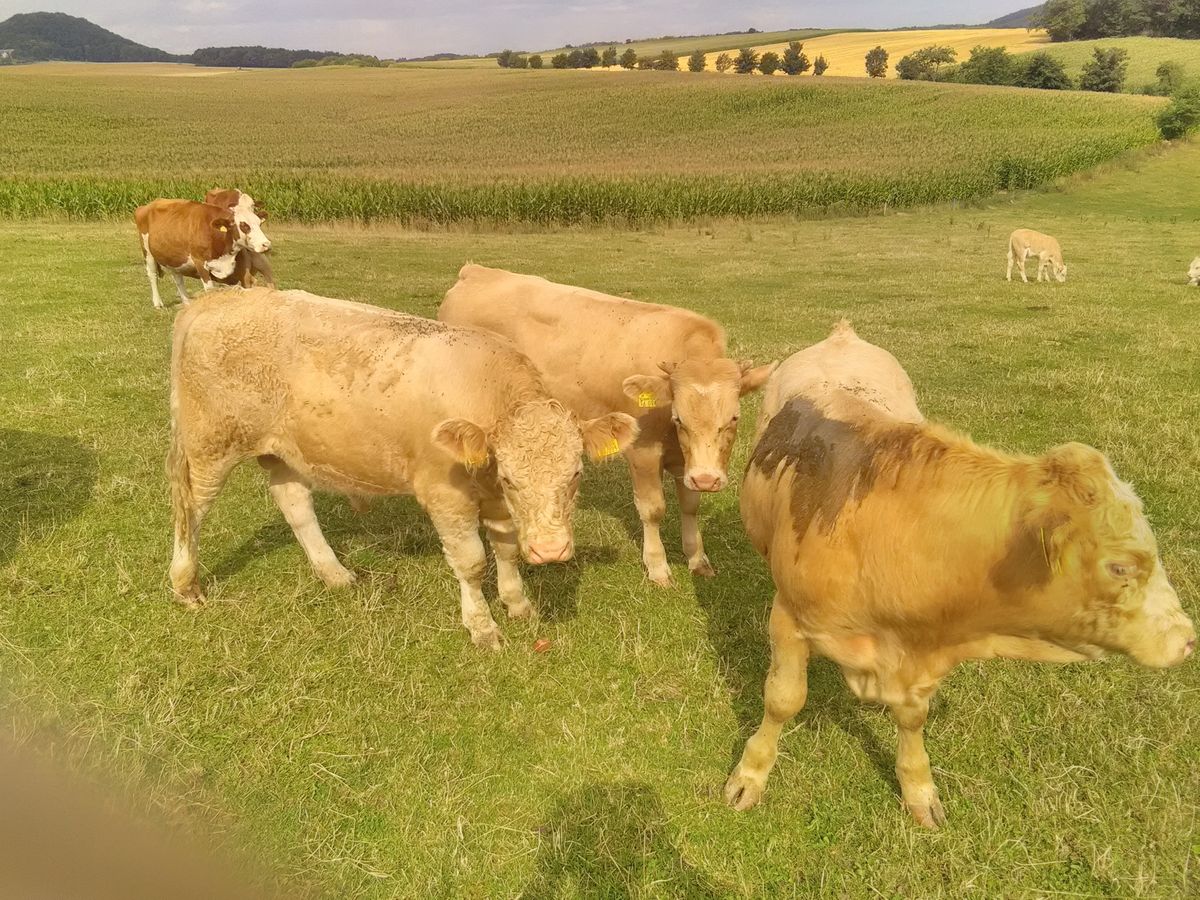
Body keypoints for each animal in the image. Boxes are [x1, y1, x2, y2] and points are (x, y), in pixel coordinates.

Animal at [167, 288, 638, 649]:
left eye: (575, 474)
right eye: (511, 477)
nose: (551, 550)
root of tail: (214, 301)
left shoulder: (495, 501)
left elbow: (505, 549)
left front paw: (519, 604)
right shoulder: (446, 495)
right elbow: (472, 562)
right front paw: (483, 628)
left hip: (282, 451)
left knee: (295, 504)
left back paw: (335, 574)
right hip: (209, 445)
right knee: (190, 508)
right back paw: (185, 584)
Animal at [438, 264, 777, 586]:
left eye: (734, 418)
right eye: (679, 417)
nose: (708, 479)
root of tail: (475, 271)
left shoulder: (687, 462)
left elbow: (691, 504)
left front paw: (697, 558)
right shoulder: (642, 451)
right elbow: (653, 509)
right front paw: (657, 566)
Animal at [724, 321, 1195, 828]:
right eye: (1121, 566)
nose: (1187, 639)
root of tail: (841, 336)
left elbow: (912, 718)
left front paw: (918, 789)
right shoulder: (789, 619)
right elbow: (782, 698)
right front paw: (750, 774)